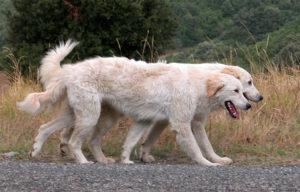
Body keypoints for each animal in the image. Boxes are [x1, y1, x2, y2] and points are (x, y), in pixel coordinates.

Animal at [17, 41, 254, 166]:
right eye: (238, 90)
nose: (251, 105)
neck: (198, 83)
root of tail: (70, 70)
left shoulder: (145, 120)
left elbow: (130, 142)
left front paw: (126, 160)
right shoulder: (183, 124)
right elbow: (198, 148)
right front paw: (208, 163)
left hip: (82, 115)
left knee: (48, 128)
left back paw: (38, 152)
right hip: (89, 116)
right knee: (75, 141)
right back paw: (83, 161)